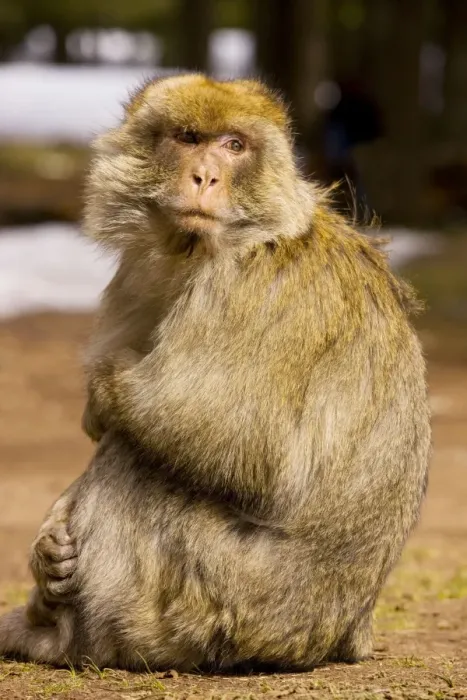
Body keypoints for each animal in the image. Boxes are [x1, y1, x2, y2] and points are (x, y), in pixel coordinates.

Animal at [0, 73, 431, 672]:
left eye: (233, 145)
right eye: (187, 138)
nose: (205, 176)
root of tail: (343, 635)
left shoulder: (253, 288)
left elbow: (248, 447)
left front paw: (103, 389)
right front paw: (46, 551)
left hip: (230, 599)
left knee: (136, 459)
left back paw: (58, 638)